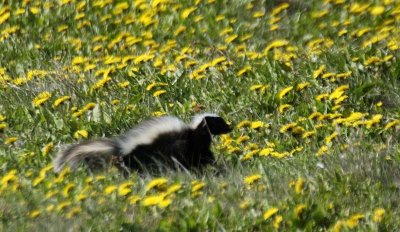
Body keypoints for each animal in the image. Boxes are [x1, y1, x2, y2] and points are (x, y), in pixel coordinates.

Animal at [53, 113, 231, 175]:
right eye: (220, 122)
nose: (230, 127)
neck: (195, 130)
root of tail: (121, 149)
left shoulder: (199, 145)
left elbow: (203, 155)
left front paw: (213, 164)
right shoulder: (185, 143)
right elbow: (192, 157)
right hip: (145, 155)